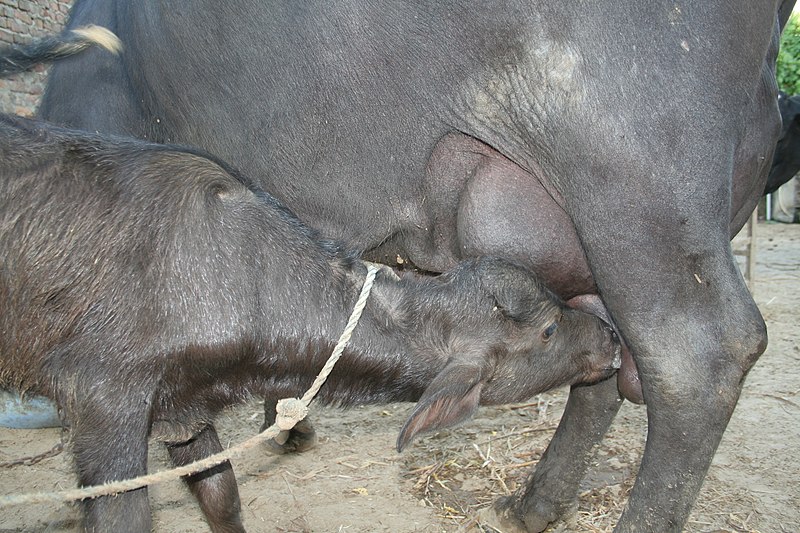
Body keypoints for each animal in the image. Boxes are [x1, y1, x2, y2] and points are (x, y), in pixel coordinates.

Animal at [0, 115, 620, 532]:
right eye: (547, 328)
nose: (609, 335)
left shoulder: (184, 410)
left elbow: (222, 493)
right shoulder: (105, 406)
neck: (242, 271)